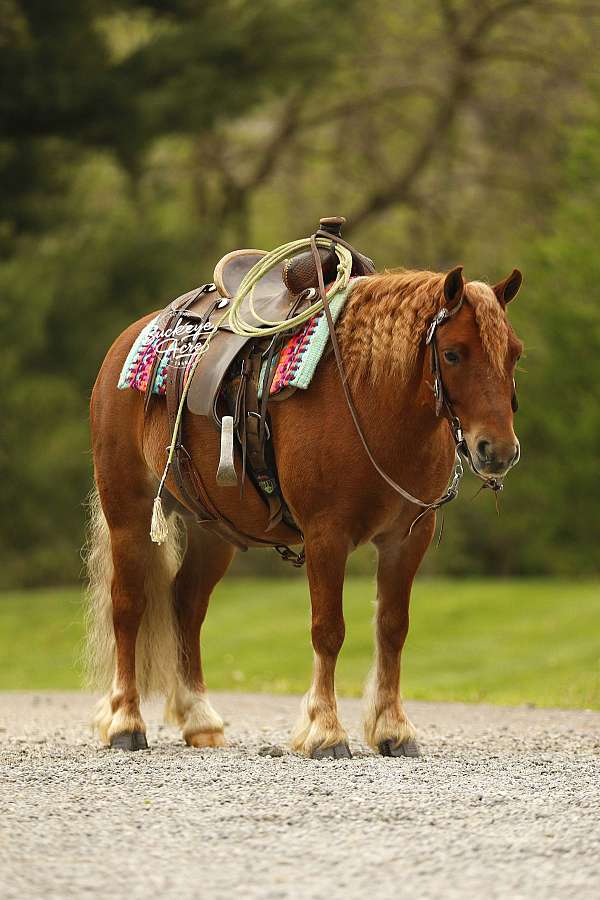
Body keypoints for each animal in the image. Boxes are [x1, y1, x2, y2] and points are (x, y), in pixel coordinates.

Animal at [85, 264, 523, 757]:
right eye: (452, 354)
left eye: (514, 355)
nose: (498, 451)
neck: (369, 399)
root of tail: (130, 338)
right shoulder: (325, 535)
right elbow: (328, 630)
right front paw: (326, 730)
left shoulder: (407, 538)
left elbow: (392, 628)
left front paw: (393, 728)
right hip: (128, 511)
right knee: (128, 605)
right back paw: (125, 721)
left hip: (212, 531)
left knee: (187, 604)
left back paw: (199, 719)